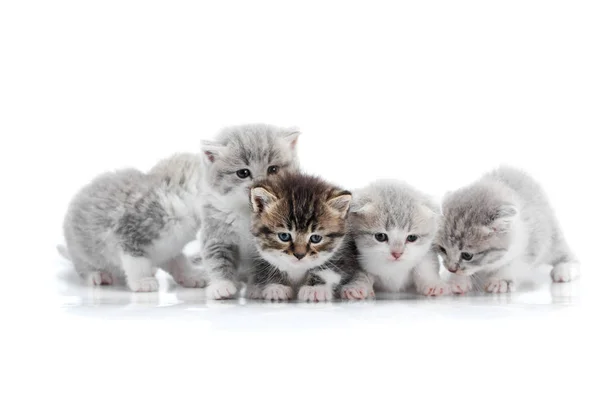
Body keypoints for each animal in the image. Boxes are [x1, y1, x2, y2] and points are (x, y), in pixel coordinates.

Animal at [60, 152, 207, 290]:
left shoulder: (170, 248)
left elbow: (180, 262)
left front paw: (191, 276)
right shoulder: (129, 233)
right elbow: (136, 262)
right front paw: (142, 281)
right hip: (83, 251)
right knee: (84, 268)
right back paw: (97, 275)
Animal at [197, 123, 300, 298]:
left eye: (273, 169)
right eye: (243, 173)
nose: (260, 184)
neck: (248, 213)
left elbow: (263, 267)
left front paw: (260, 288)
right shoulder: (216, 233)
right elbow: (217, 259)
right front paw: (222, 285)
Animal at [247, 171, 360, 300]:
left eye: (316, 238)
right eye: (284, 236)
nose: (299, 255)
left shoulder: (344, 253)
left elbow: (330, 269)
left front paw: (315, 288)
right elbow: (266, 267)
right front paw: (277, 286)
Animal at [436, 166, 580, 294]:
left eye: (467, 255)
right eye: (442, 249)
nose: (451, 269)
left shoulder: (534, 241)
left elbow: (515, 264)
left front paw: (501, 280)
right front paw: (456, 280)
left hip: (552, 237)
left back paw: (564, 269)